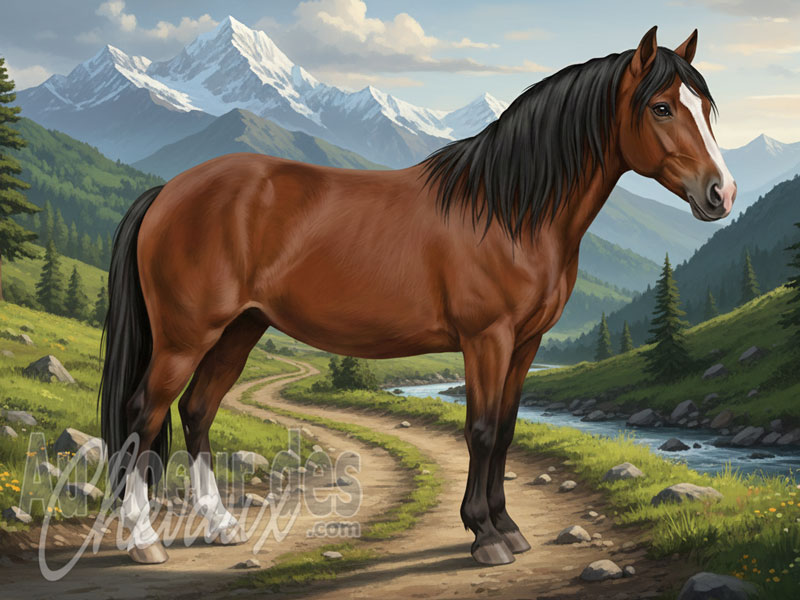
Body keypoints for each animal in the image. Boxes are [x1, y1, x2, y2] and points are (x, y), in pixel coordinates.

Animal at [100, 26, 735, 566]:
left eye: (705, 107)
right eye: (661, 107)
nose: (721, 193)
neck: (508, 211)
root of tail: (168, 191)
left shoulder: (525, 344)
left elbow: (506, 430)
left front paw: (508, 528)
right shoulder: (486, 340)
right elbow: (481, 431)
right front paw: (483, 535)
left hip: (239, 330)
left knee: (196, 411)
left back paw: (221, 526)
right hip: (185, 337)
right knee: (142, 412)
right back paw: (143, 540)